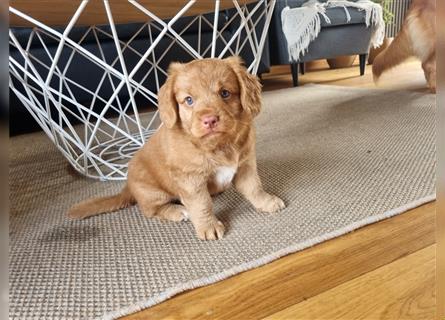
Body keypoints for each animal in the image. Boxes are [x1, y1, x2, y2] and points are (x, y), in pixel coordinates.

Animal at [68, 56, 286, 240]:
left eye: (225, 93)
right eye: (188, 100)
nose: (210, 120)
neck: (217, 145)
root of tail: (127, 188)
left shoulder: (245, 164)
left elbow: (254, 187)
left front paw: (266, 202)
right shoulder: (190, 179)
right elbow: (201, 204)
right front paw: (208, 226)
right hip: (153, 192)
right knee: (150, 211)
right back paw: (177, 211)